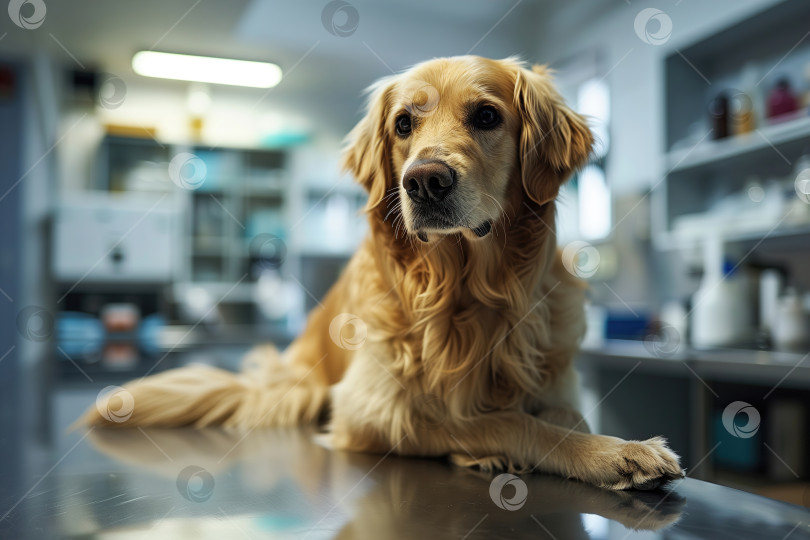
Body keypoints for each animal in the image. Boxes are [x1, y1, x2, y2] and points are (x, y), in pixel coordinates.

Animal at [83, 57, 680, 492]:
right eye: (403, 125)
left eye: (487, 116)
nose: (425, 181)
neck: (463, 293)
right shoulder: (371, 410)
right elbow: (505, 420)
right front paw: (609, 454)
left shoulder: (555, 373)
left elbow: (563, 413)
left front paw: (605, 443)